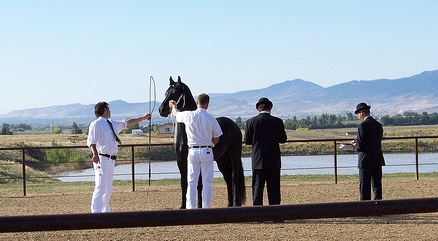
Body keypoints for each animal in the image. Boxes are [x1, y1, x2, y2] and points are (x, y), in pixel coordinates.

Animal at [158, 76, 246, 208]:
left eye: (175, 92)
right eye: (166, 92)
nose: (161, 109)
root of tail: (234, 125)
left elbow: (199, 185)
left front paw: (199, 205)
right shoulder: (180, 160)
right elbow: (184, 183)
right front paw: (183, 205)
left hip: (234, 156)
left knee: (234, 177)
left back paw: (236, 203)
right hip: (222, 159)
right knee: (228, 178)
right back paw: (229, 204)